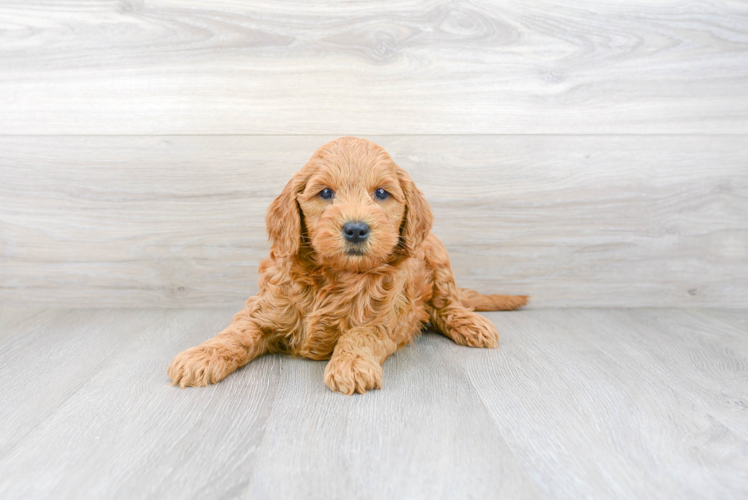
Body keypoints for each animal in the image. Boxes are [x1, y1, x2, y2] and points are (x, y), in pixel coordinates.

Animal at [167, 137, 528, 394]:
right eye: (326, 193)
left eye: (381, 193)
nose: (356, 229)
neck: (335, 275)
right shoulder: (264, 309)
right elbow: (236, 333)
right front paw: (202, 356)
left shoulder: (386, 319)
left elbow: (359, 335)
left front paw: (350, 366)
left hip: (436, 253)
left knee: (445, 303)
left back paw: (470, 323)